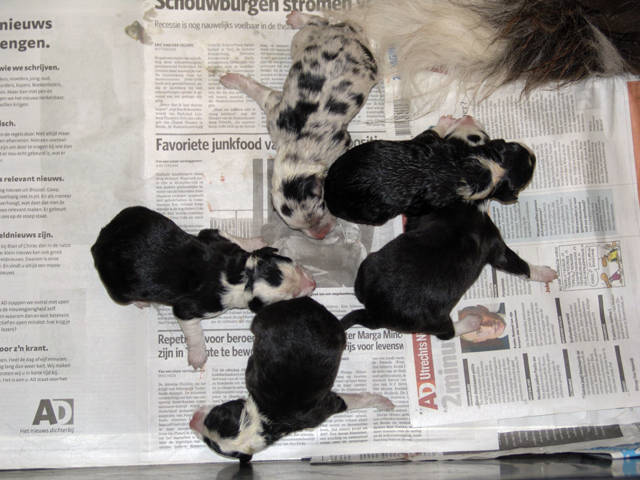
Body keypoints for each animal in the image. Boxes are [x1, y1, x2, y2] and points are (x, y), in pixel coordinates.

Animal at [90, 206, 316, 369]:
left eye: (295, 263)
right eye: (293, 296)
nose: (313, 284)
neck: (243, 277)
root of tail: (99, 243)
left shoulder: (215, 237)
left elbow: (228, 236)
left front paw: (256, 241)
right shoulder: (190, 308)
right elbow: (194, 331)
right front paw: (198, 356)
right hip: (119, 290)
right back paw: (140, 302)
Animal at [189, 297, 394, 462]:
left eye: (216, 414)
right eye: (210, 442)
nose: (192, 421)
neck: (267, 417)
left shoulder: (251, 376)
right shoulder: (322, 410)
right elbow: (347, 400)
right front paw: (383, 401)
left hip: (262, 318)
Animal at [219, 11, 377, 239]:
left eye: (322, 206)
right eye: (297, 228)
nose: (321, 235)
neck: (297, 144)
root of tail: (345, 32)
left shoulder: (341, 142)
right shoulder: (274, 112)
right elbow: (262, 92)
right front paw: (232, 79)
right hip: (302, 40)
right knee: (319, 21)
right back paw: (296, 17)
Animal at [324, 115, 535, 226]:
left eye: (478, 137)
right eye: (511, 144)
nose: (533, 154)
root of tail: (328, 192)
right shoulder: (429, 142)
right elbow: (432, 132)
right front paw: (446, 121)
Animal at [341, 203, 558, 338]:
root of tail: (373, 312)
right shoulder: (495, 245)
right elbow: (519, 264)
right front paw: (545, 273)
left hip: (368, 265)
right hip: (433, 321)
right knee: (447, 334)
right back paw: (471, 322)